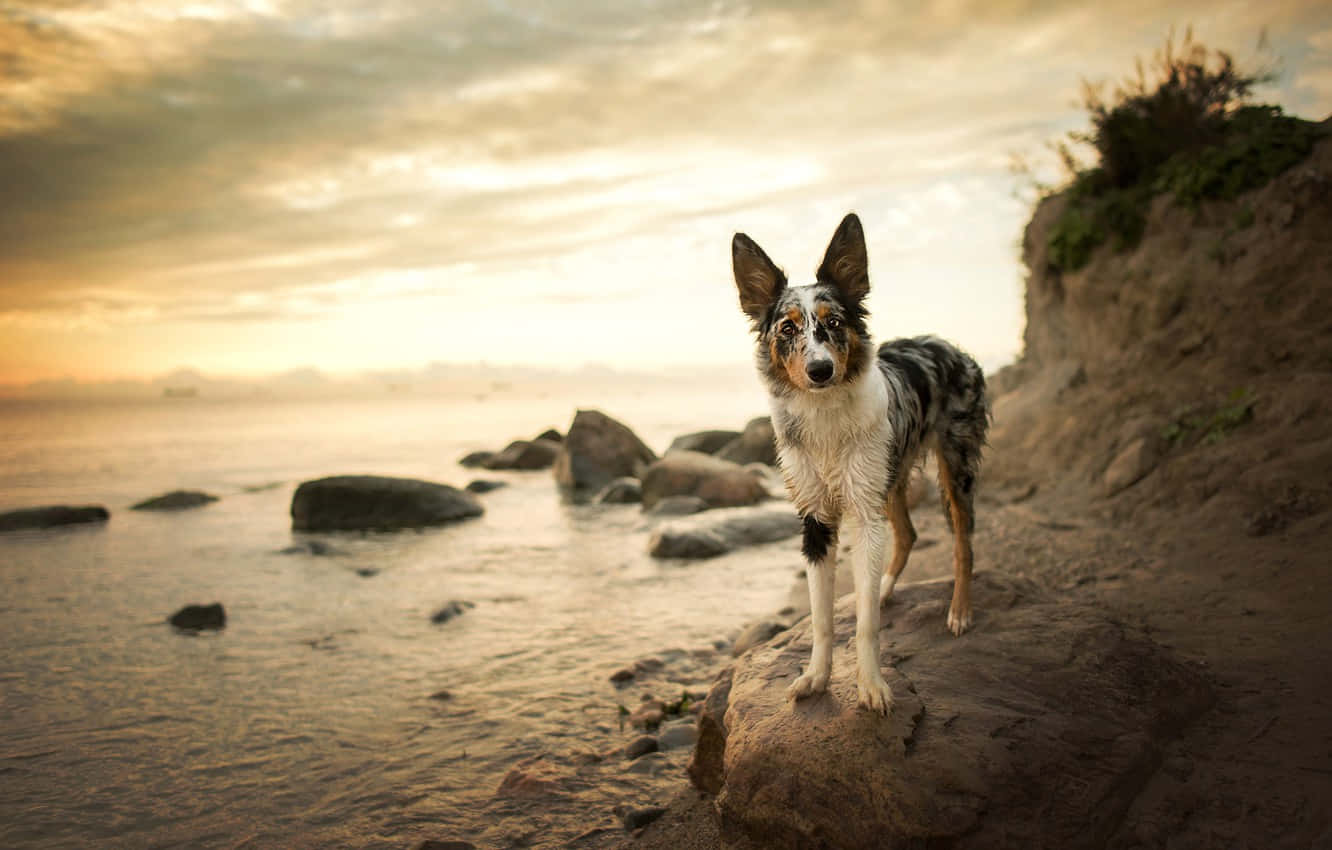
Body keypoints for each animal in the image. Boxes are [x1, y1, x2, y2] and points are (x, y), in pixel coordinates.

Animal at [729, 211, 991, 714]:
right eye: (787, 328)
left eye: (834, 321)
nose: (820, 370)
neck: (825, 418)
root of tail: (947, 344)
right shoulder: (815, 519)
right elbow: (821, 618)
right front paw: (816, 677)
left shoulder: (865, 515)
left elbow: (867, 625)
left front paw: (872, 686)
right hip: (889, 475)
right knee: (907, 535)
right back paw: (885, 589)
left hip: (954, 467)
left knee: (963, 543)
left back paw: (960, 611)